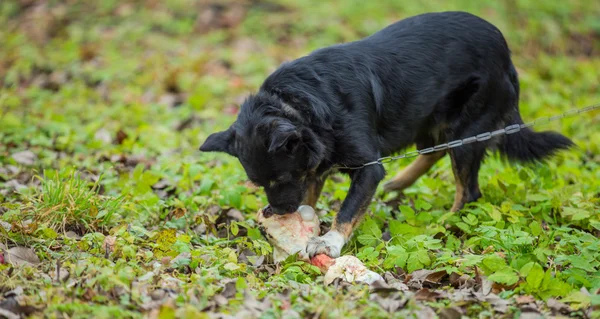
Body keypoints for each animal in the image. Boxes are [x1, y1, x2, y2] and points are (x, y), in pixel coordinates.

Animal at [200, 11, 572, 258]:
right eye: (258, 184)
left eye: (281, 178)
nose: (277, 212)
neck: (295, 103)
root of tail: (507, 54)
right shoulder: (317, 167)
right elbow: (312, 195)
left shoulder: (366, 167)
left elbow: (348, 209)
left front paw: (329, 240)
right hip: (429, 120)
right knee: (435, 150)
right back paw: (401, 182)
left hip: (469, 128)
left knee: (468, 190)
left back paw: (443, 224)